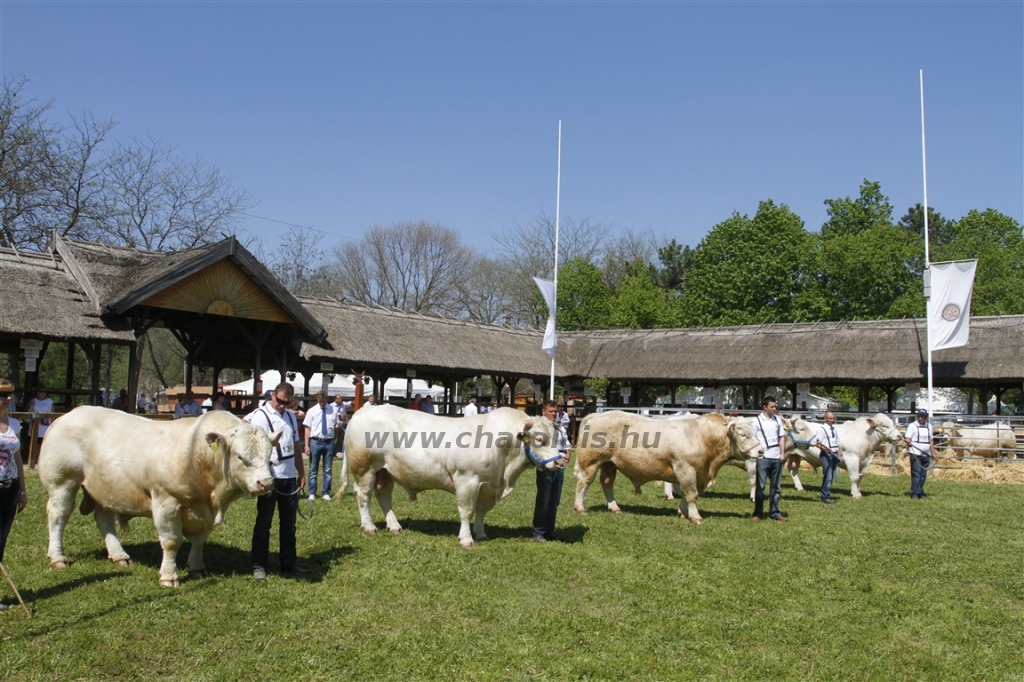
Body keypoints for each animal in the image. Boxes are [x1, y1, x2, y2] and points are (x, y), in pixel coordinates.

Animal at [39, 403, 274, 585]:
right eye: (240, 456)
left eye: (270, 455)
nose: (266, 483)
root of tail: (69, 414)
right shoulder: (165, 501)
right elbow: (171, 541)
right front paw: (169, 576)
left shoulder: (204, 513)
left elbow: (199, 541)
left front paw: (196, 568)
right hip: (62, 481)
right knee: (58, 515)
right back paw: (58, 557)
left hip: (106, 487)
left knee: (104, 519)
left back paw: (119, 555)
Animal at [348, 403, 565, 548]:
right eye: (539, 439)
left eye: (557, 437)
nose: (560, 462)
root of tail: (365, 409)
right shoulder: (467, 480)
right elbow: (467, 511)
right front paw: (466, 539)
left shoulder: (487, 485)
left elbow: (481, 511)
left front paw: (480, 533)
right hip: (365, 468)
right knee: (363, 496)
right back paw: (368, 526)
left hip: (386, 471)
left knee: (383, 495)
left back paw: (394, 526)